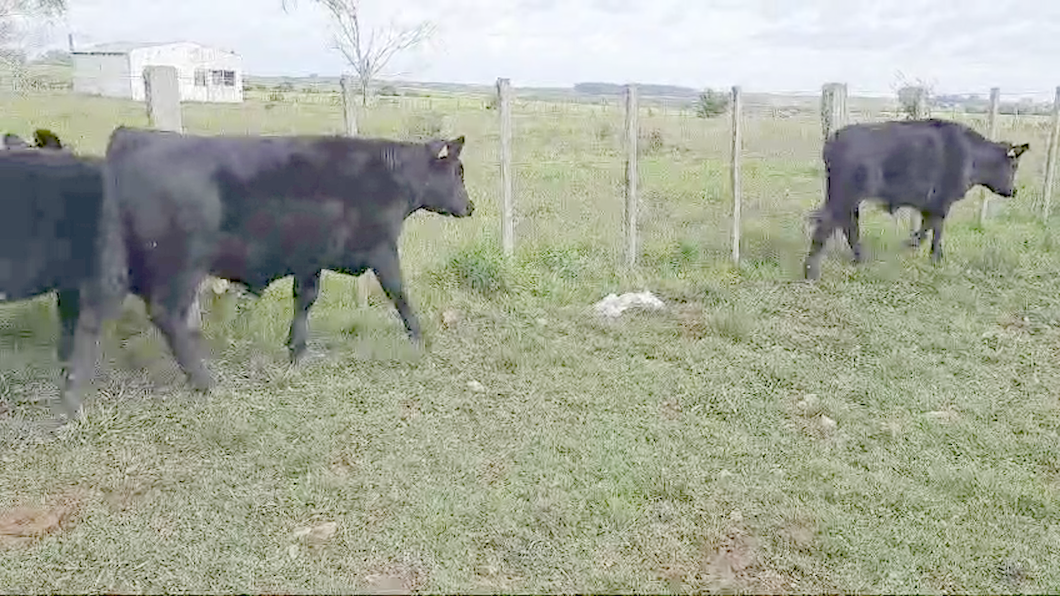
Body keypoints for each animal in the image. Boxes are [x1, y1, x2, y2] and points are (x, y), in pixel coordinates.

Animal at [101, 126, 474, 390]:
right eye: (457, 171)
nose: (470, 206)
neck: (390, 175)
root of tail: (132, 136)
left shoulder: (310, 258)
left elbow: (304, 299)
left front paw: (296, 350)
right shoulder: (381, 248)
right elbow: (398, 292)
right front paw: (419, 337)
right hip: (180, 265)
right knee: (168, 316)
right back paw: (203, 381)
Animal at [801, 119, 1026, 282]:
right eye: (1013, 165)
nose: (1013, 191)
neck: (970, 155)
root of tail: (834, 139)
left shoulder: (931, 204)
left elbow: (928, 226)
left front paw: (915, 244)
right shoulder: (942, 202)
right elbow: (936, 229)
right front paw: (934, 256)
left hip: (846, 199)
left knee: (849, 225)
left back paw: (860, 258)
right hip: (845, 195)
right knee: (828, 225)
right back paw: (811, 272)